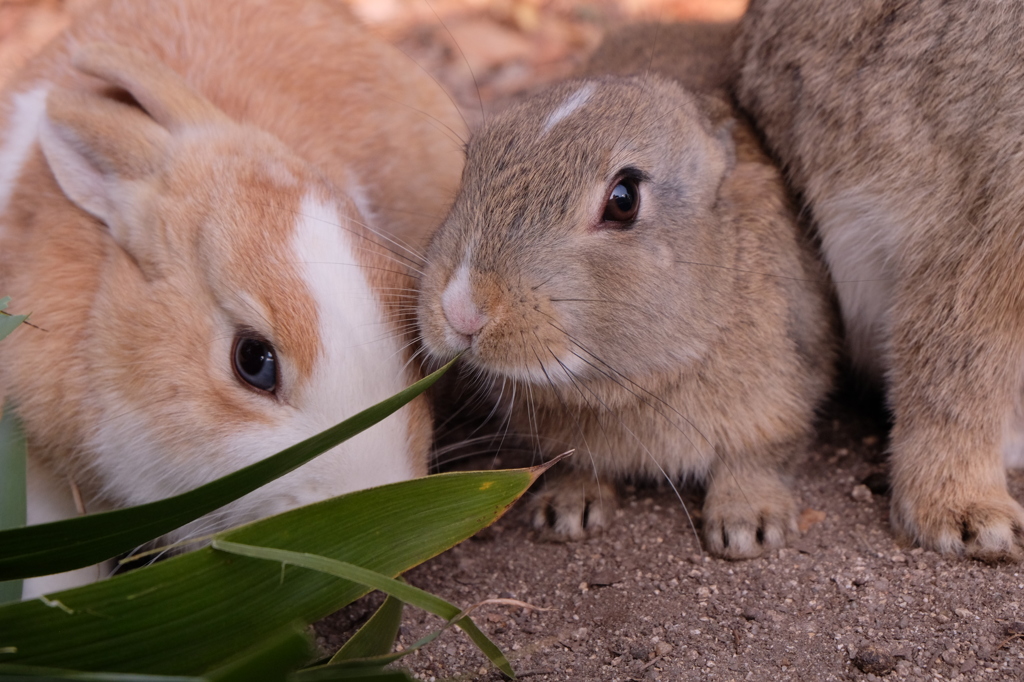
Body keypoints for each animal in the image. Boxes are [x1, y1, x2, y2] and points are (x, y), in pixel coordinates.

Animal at [417, 21, 839, 557]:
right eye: (471, 161)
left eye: (623, 199)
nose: (462, 310)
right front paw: (568, 511)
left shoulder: (781, 397)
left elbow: (759, 458)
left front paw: (749, 527)